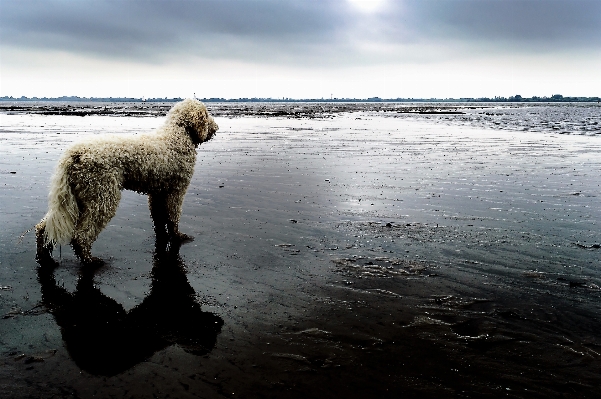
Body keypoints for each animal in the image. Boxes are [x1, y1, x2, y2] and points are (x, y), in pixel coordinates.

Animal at [35, 98, 218, 264]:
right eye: (206, 114)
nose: (216, 128)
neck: (178, 134)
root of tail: (75, 153)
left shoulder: (158, 192)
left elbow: (159, 218)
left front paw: (163, 236)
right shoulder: (176, 190)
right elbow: (173, 217)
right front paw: (178, 236)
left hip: (79, 196)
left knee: (44, 227)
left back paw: (44, 256)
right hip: (102, 196)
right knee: (81, 235)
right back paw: (89, 260)